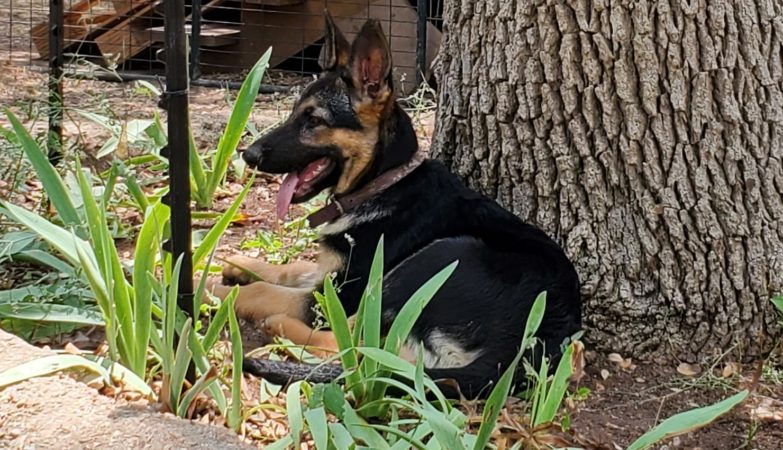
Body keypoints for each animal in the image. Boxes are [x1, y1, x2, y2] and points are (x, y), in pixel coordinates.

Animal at [208, 15, 580, 400]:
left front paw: (210, 288)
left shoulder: (341, 293)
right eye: (297, 113)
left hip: (436, 259)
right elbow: (294, 268)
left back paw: (279, 326)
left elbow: (263, 291)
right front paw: (239, 265)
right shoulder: (333, 274)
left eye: (313, 120)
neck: (383, 185)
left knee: (357, 343)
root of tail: (535, 344)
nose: (248, 155)